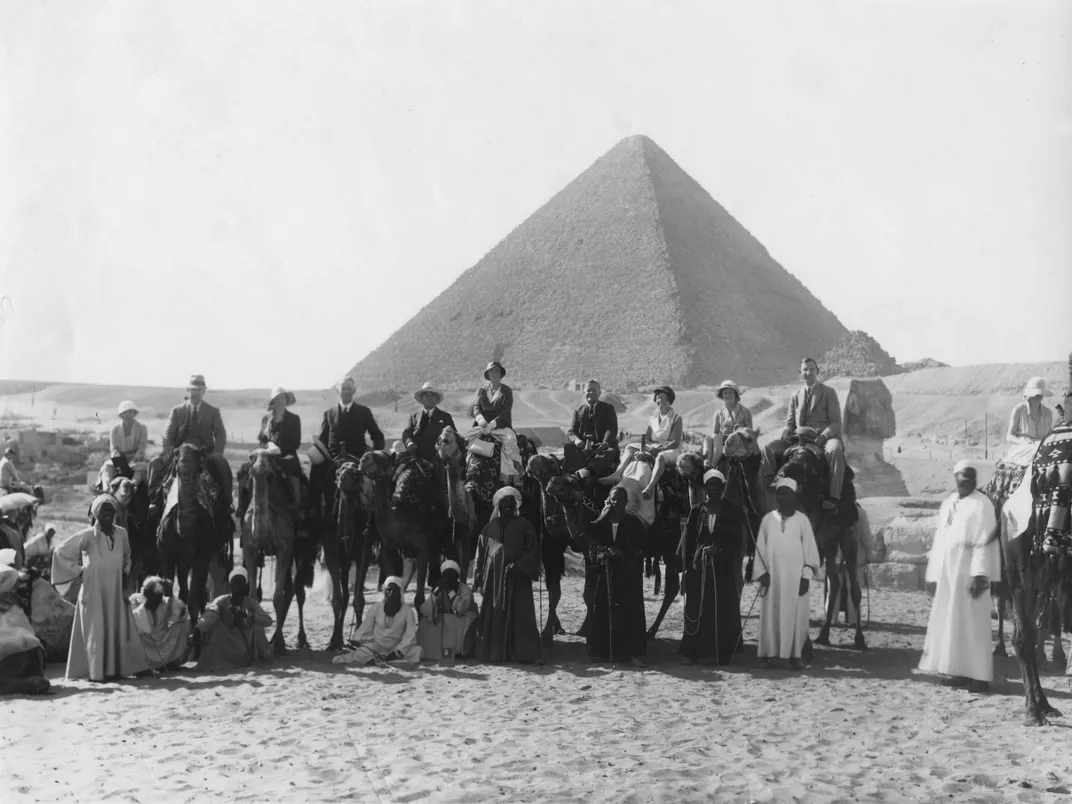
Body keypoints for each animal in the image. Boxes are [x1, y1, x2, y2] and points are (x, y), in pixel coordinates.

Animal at [156, 443, 233, 626]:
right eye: (177, 455)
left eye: (197, 461)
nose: (184, 467)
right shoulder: (167, 555)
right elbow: (170, 596)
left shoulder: (201, 558)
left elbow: (193, 601)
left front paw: (193, 631)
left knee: (201, 591)